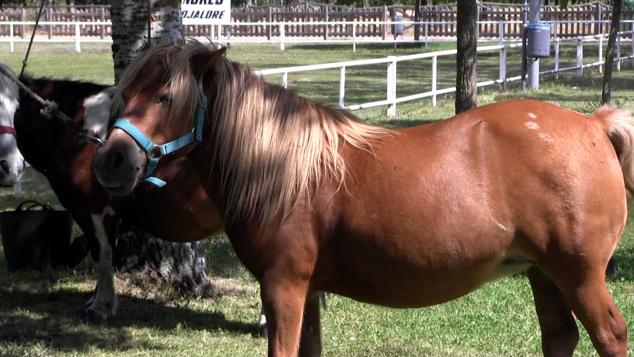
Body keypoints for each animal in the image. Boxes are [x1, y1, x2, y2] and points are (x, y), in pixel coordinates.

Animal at [91, 40, 628, 354]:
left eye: (167, 98)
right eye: (123, 94)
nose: (110, 160)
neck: (286, 169)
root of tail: (594, 125)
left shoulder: (284, 287)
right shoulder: (305, 292)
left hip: (579, 276)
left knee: (609, 335)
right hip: (542, 274)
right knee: (560, 336)